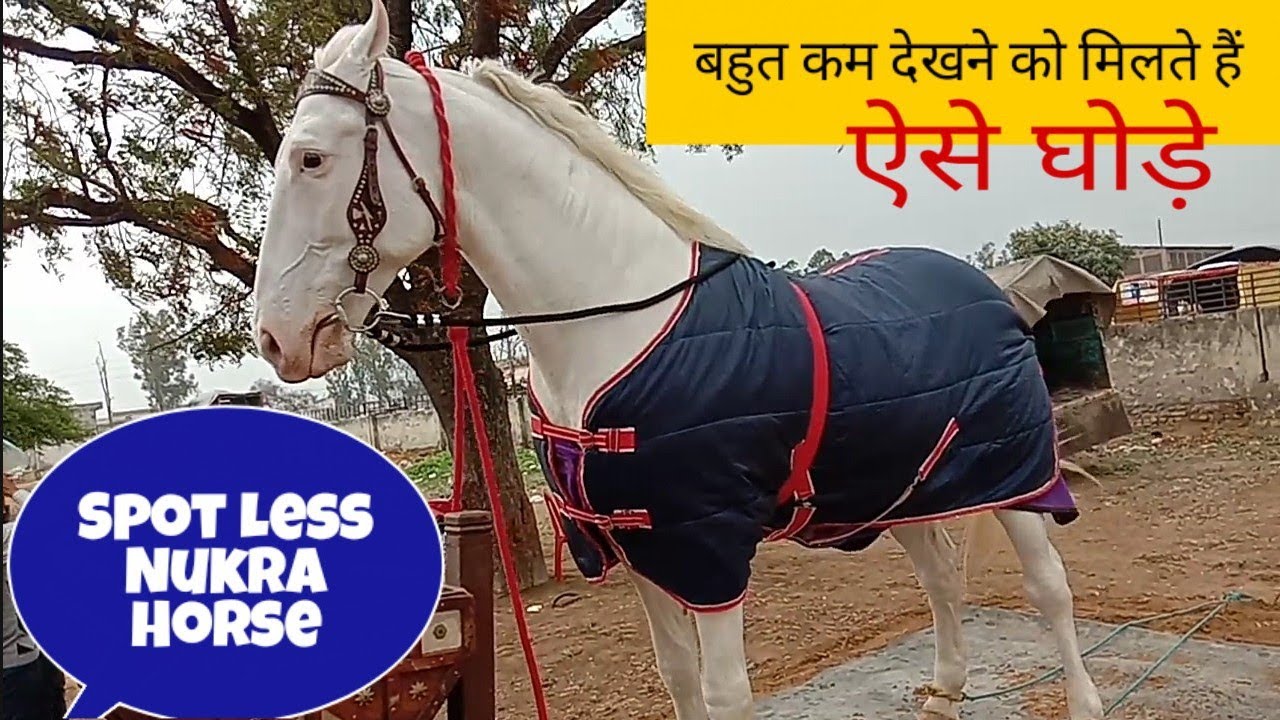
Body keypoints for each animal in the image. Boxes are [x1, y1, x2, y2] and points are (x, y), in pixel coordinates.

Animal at [251, 2, 1105, 718]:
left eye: (312, 159)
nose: (276, 338)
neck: (618, 320)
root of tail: (987, 287)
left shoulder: (708, 553)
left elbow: (724, 694)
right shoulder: (641, 551)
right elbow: (679, 679)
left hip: (1016, 478)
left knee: (1050, 589)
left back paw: (1083, 699)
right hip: (901, 488)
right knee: (940, 577)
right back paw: (947, 690)